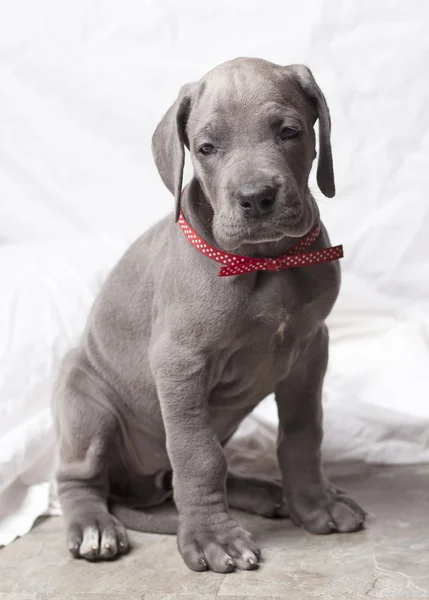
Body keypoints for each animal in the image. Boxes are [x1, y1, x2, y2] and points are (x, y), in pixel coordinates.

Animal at [51, 58, 362, 576]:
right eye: (206, 148)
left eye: (289, 132)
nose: (256, 197)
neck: (265, 263)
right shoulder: (181, 363)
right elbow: (197, 456)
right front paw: (212, 537)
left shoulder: (310, 349)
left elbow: (302, 433)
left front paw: (315, 503)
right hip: (85, 403)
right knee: (80, 480)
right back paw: (94, 526)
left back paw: (265, 493)